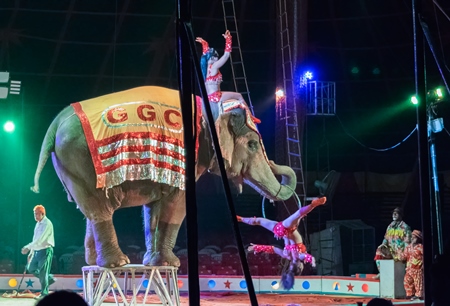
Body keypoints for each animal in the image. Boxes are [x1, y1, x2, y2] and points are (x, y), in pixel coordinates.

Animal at [29, 85, 298, 268]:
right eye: (252, 145)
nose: (276, 163)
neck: (208, 107)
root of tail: (54, 125)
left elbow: (154, 208)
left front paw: (154, 263)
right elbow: (177, 203)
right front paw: (171, 264)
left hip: (70, 166)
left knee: (90, 210)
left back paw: (95, 264)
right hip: (80, 158)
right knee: (100, 208)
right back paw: (117, 264)